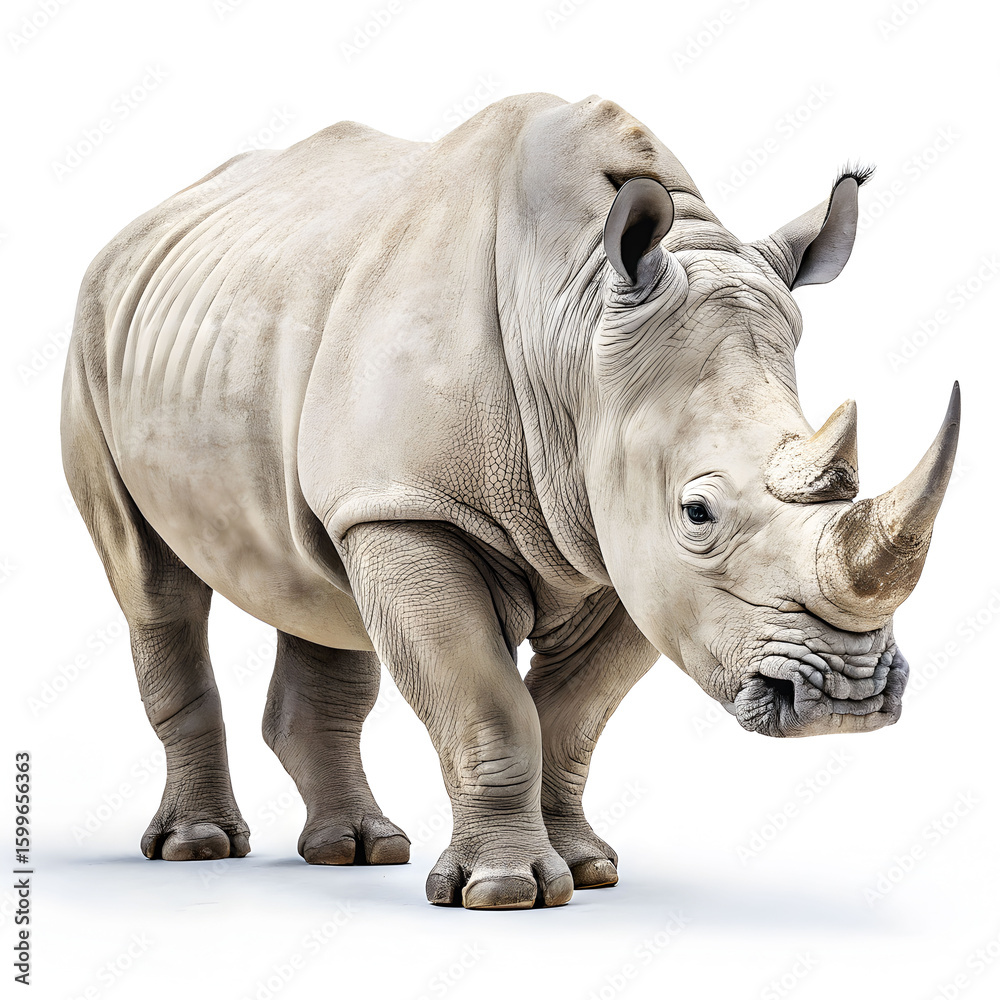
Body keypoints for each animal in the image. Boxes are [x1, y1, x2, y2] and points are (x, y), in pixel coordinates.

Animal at [62, 93, 959, 910]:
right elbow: (487, 704)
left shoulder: (618, 542)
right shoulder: (417, 505)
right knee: (153, 586)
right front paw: (505, 891)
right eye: (698, 513)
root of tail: (140, 226)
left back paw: (358, 851)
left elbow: (571, 715)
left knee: (319, 585)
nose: (847, 697)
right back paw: (199, 848)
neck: (576, 327)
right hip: (95, 337)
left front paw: (588, 872)